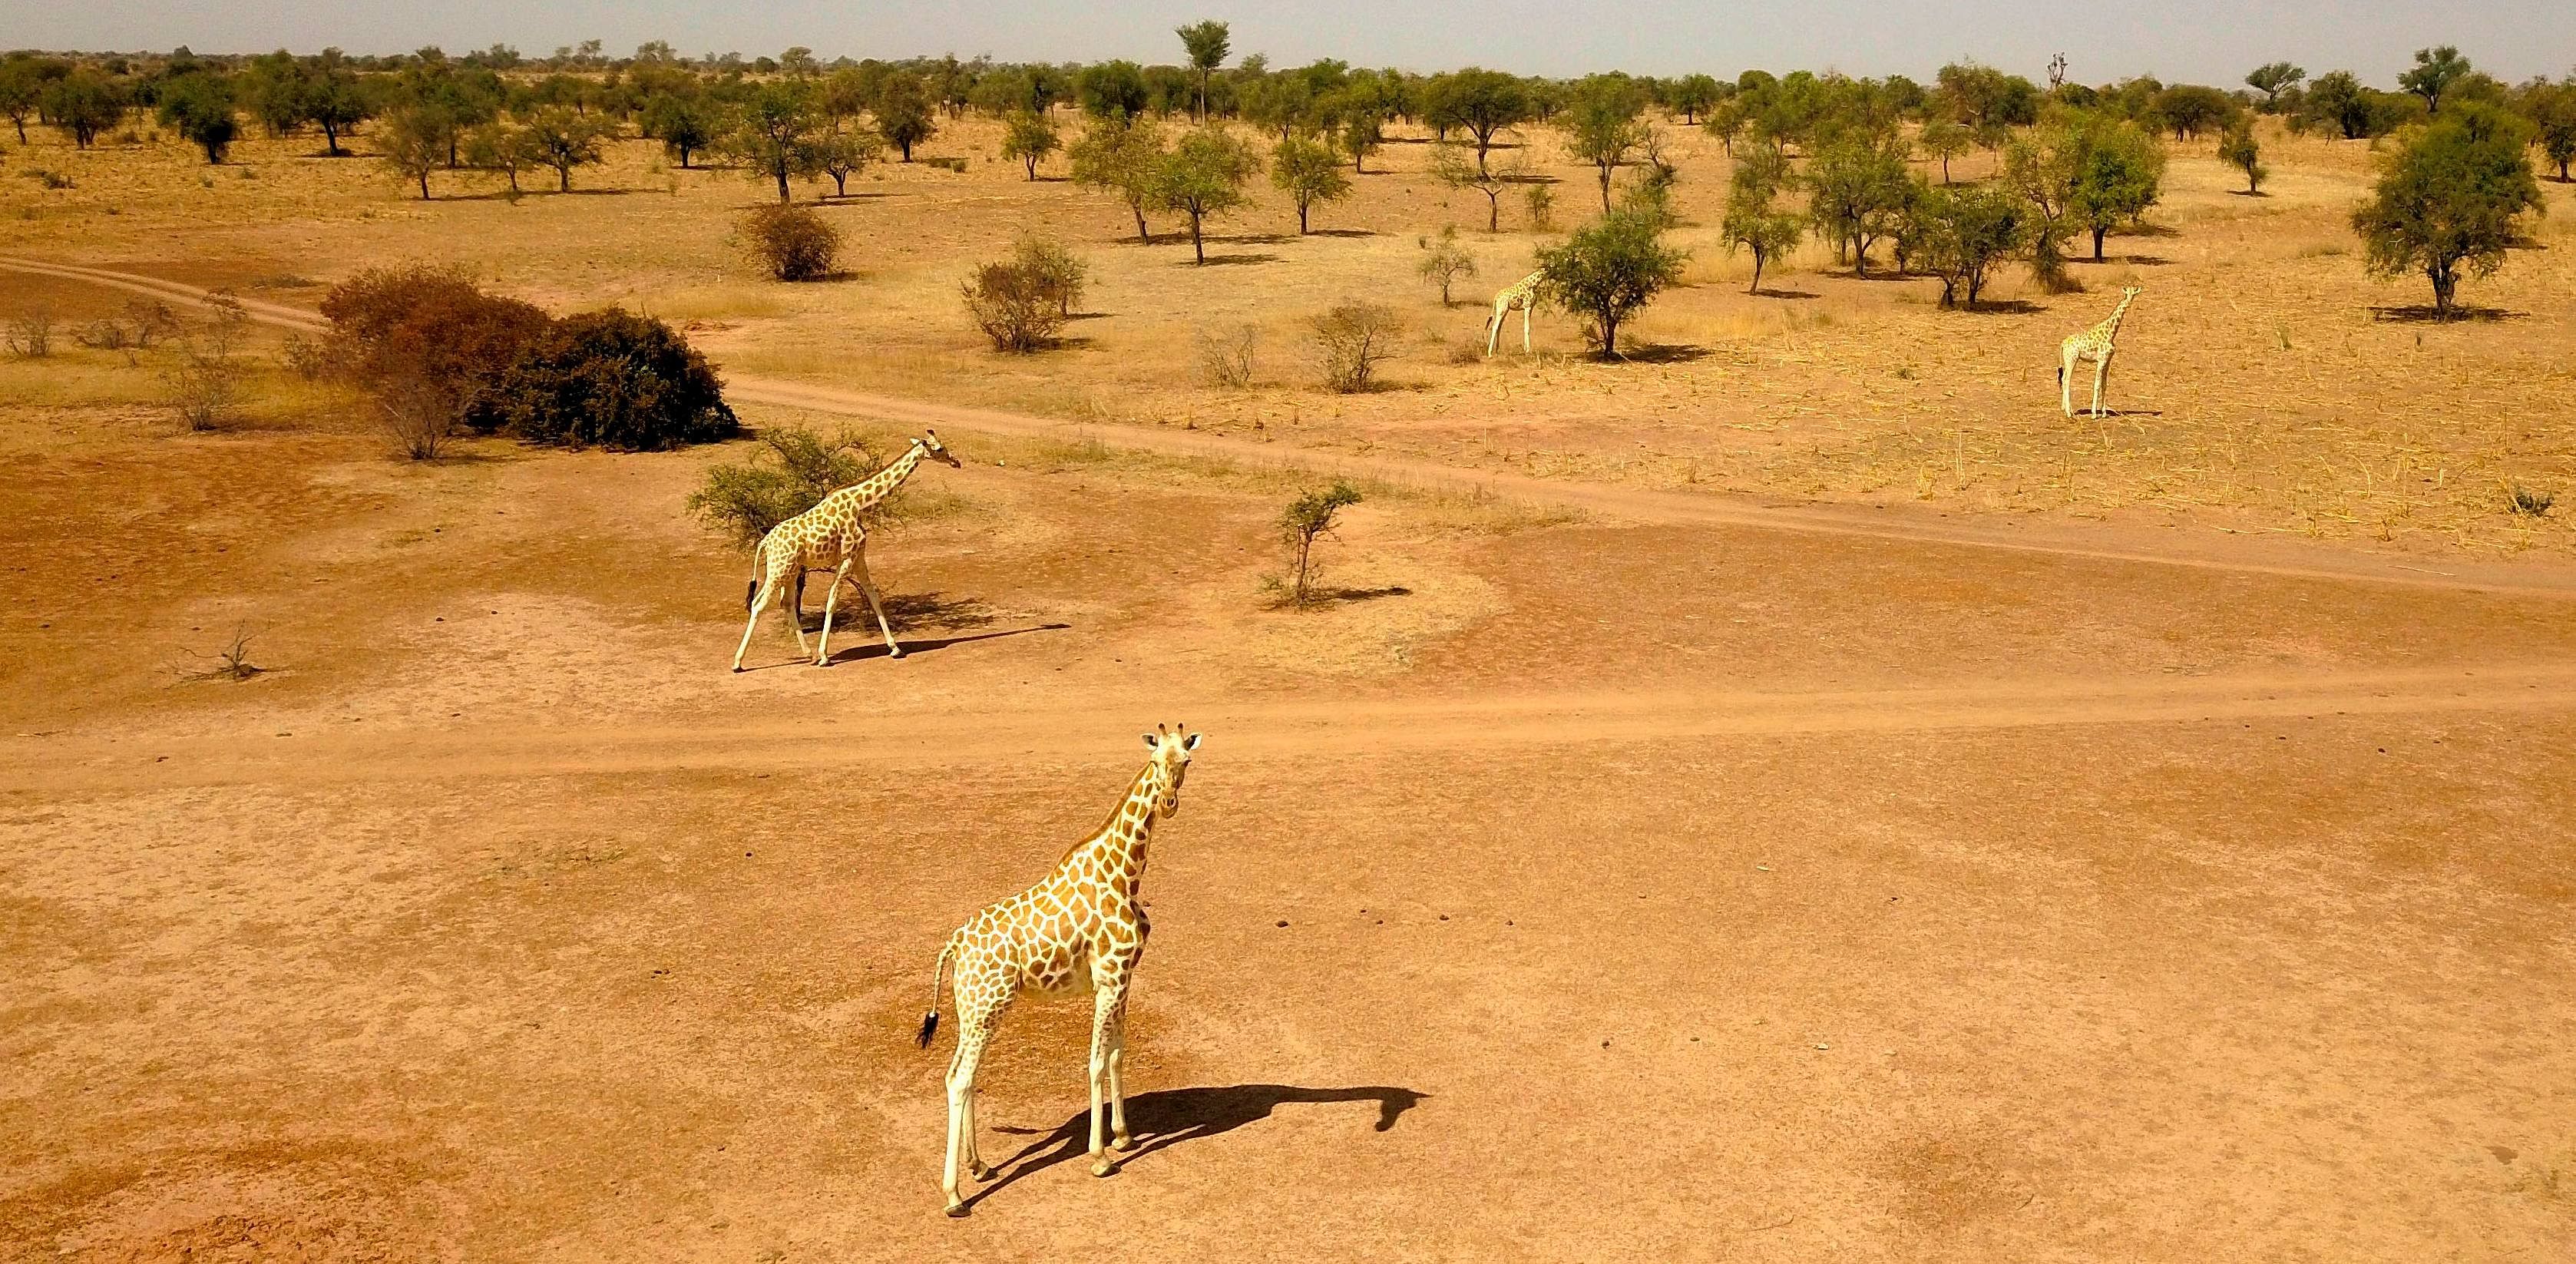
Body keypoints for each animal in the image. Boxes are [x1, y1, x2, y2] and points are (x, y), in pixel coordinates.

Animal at [731, 429, 963, 674]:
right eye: (939, 448)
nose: (956, 462)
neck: (861, 504)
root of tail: (765, 542)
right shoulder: (847, 556)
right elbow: (832, 600)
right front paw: (825, 656)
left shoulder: (859, 556)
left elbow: (873, 596)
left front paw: (895, 648)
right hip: (779, 569)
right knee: (758, 604)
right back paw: (738, 663)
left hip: (791, 570)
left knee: (786, 603)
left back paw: (808, 655)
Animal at [917, 726, 1205, 1220]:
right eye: (1155, 762)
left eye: (1185, 761)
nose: (1168, 801)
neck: (1125, 874)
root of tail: (953, 945)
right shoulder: (1110, 978)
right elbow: (1094, 1062)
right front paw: (1100, 1157)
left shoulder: (1125, 978)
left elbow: (1117, 1055)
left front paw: (1124, 1136)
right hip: (987, 1006)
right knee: (959, 1078)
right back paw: (954, 1196)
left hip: (972, 1009)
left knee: (961, 1075)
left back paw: (979, 1165)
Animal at [2061, 286, 2143, 419]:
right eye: (2128, 292)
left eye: (2134, 291)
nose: (2129, 302)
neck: (2111, 334)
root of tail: (2063, 344)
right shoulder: (2101, 360)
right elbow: (2097, 385)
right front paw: (2094, 414)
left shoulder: (2108, 361)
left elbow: (2104, 384)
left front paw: (2104, 413)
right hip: (2072, 359)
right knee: (2067, 380)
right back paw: (2069, 413)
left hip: (2068, 360)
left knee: (2063, 379)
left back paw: (2065, 409)